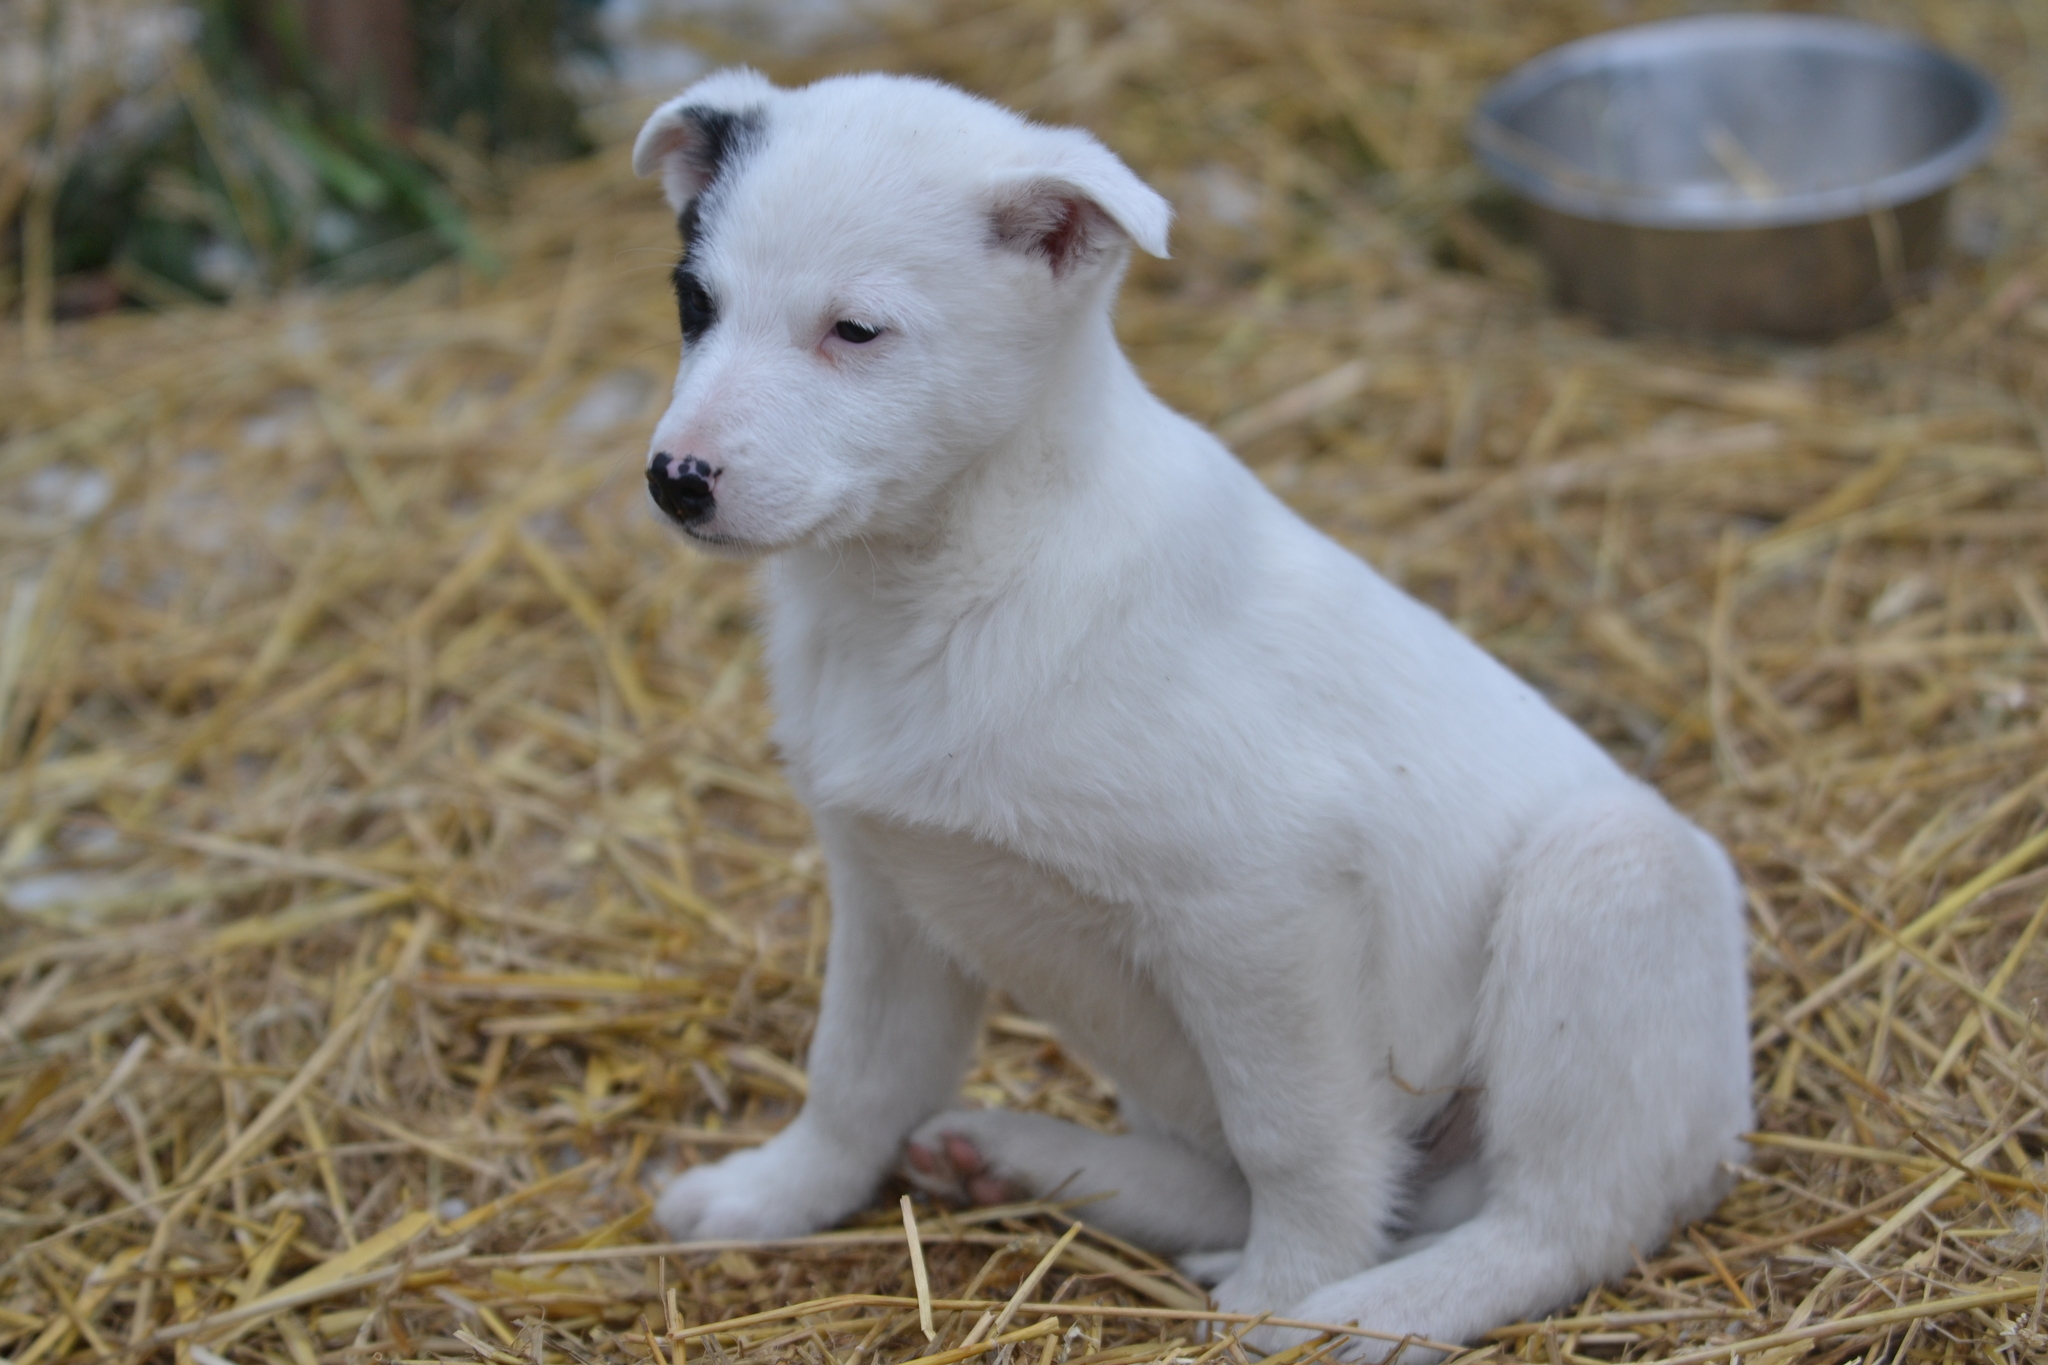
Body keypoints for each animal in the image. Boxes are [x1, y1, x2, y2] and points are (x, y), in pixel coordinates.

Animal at [630, 72, 1753, 1358]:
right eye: (693, 302)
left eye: (853, 332)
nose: (676, 480)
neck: (950, 573)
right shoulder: (888, 889)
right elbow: (855, 1071)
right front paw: (773, 1193)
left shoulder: (1260, 908)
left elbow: (1297, 1139)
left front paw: (1286, 1291)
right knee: (1241, 1180)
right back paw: (1018, 1158)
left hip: (1611, 880)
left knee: (1557, 1220)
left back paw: (1363, 1308)